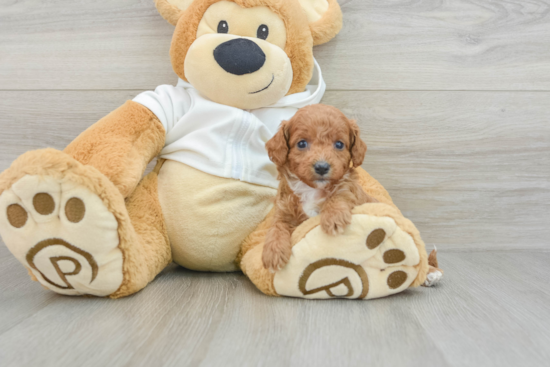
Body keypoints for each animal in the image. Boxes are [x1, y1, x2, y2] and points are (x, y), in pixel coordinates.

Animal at [264, 105, 380, 272]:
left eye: (339, 144)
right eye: (301, 144)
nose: (322, 167)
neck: (310, 190)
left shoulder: (349, 189)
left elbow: (340, 194)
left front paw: (333, 217)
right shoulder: (283, 211)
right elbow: (276, 227)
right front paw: (273, 252)